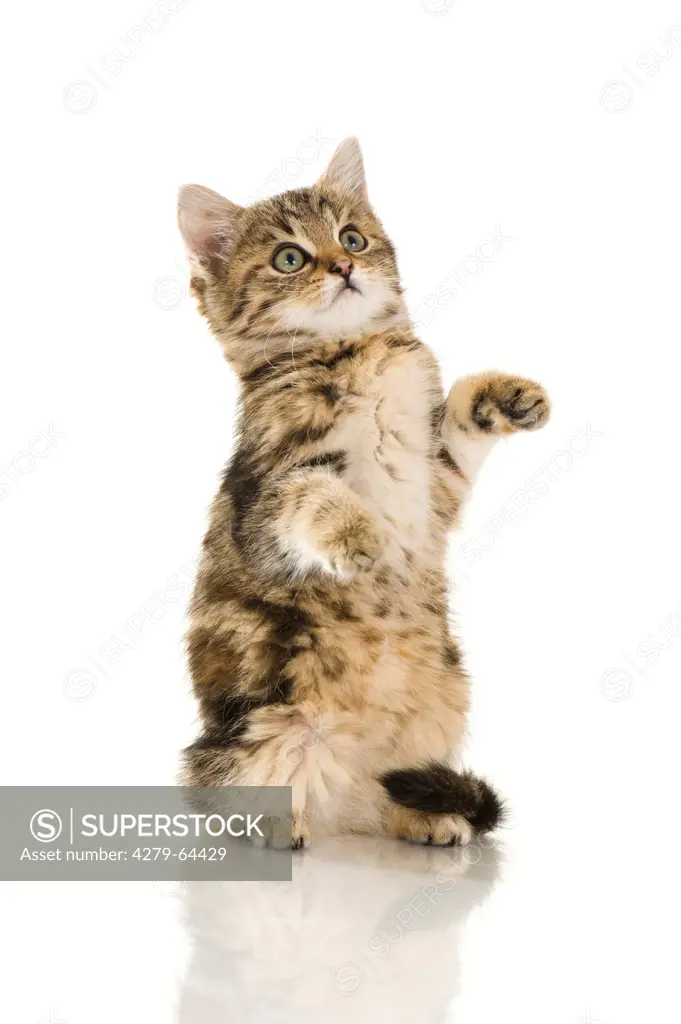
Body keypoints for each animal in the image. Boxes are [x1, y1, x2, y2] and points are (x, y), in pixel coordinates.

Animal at [178, 138, 548, 847]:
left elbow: (460, 420)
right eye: (290, 257)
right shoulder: (263, 501)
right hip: (261, 733)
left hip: (440, 708)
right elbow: (313, 493)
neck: (354, 352)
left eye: (352, 237)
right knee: (239, 794)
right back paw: (277, 830)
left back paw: (426, 818)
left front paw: (506, 396)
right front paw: (358, 533)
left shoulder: (435, 485)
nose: (345, 265)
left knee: (386, 795)